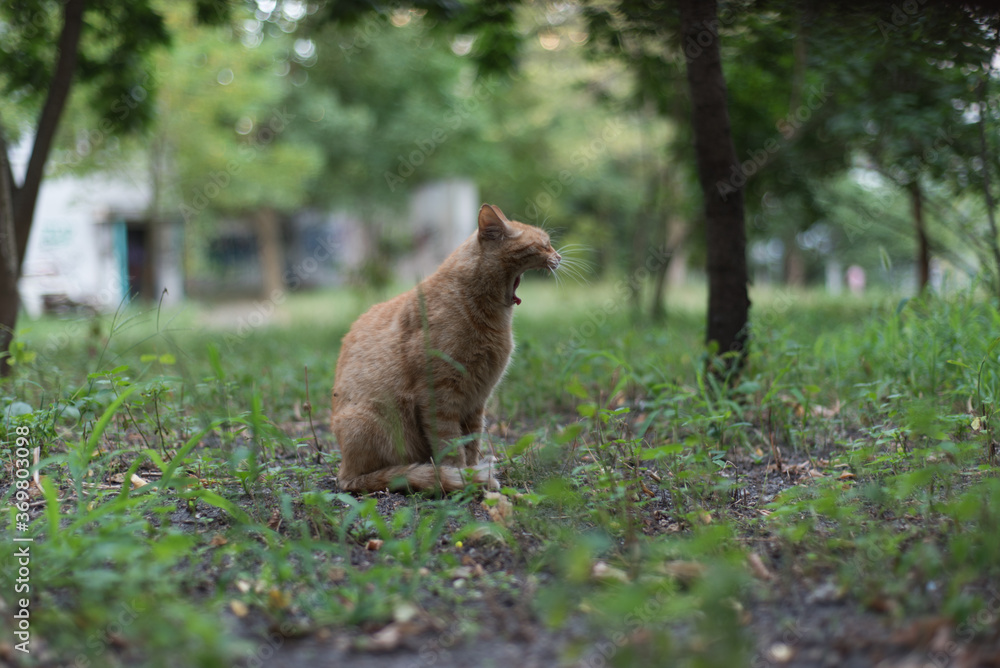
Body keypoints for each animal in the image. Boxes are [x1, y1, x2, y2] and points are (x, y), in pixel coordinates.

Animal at [332, 203, 561, 493]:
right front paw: (464, 477)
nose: (559, 257)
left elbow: (472, 441)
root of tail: (343, 472)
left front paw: (472, 470)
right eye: (544, 245)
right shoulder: (439, 395)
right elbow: (450, 445)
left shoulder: (477, 400)